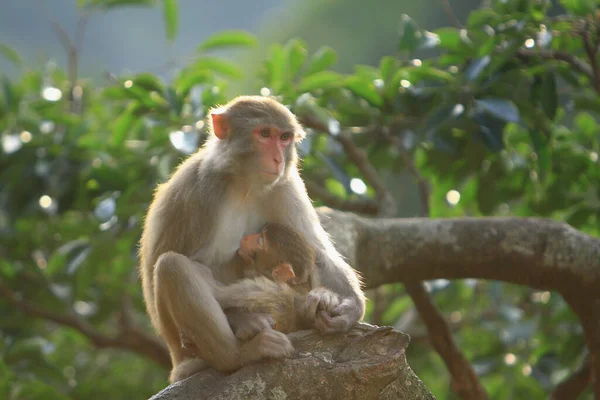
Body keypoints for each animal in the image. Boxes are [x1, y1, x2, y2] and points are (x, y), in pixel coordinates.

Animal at [139, 95, 366, 382]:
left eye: (284, 137)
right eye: (264, 134)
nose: (278, 159)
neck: (244, 184)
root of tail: (175, 361)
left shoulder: (286, 184)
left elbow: (317, 250)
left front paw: (349, 308)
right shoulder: (199, 192)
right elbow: (196, 265)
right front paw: (246, 321)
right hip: (186, 351)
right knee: (172, 266)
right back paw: (240, 354)